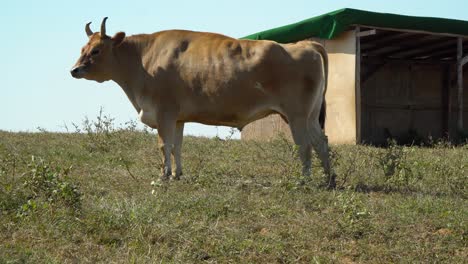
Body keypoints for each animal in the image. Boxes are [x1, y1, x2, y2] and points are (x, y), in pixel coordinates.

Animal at [70, 18, 332, 188]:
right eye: (82, 48)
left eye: (96, 50)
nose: (74, 70)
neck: (143, 60)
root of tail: (305, 44)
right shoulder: (178, 117)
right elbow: (176, 146)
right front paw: (177, 175)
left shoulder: (164, 112)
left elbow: (163, 145)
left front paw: (163, 177)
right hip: (310, 116)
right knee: (321, 142)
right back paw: (330, 180)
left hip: (297, 115)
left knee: (304, 145)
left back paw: (304, 181)